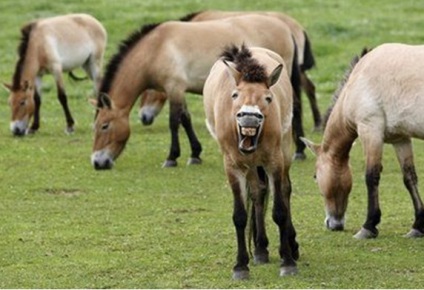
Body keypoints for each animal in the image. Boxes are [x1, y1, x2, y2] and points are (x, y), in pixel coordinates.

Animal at [91, 14, 300, 170]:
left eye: (104, 126)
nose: (97, 162)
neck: (156, 48)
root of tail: (286, 28)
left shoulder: (174, 88)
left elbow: (174, 122)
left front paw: (172, 157)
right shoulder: (179, 90)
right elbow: (185, 119)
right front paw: (195, 154)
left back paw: (298, 152)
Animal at [203, 44, 298, 278]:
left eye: (268, 98)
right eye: (235, 94)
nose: (249, 117)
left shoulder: (274, 162)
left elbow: (280, 211)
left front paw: (288, 262)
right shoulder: (233, 166)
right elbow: (239, 215)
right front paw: (240, 266)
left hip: (284, 152)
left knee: (285, 190)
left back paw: (291, 245)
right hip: (252, 166)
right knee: (258, 192)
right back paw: (261, 249)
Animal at [302, 42, 424, 238]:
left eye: (315, 176)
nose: (333, 224)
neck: (358, 79)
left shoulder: (370, 130)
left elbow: (371, 175)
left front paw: (368, 226)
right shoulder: (400, 139)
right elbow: (409, 177)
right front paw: (417, 226)